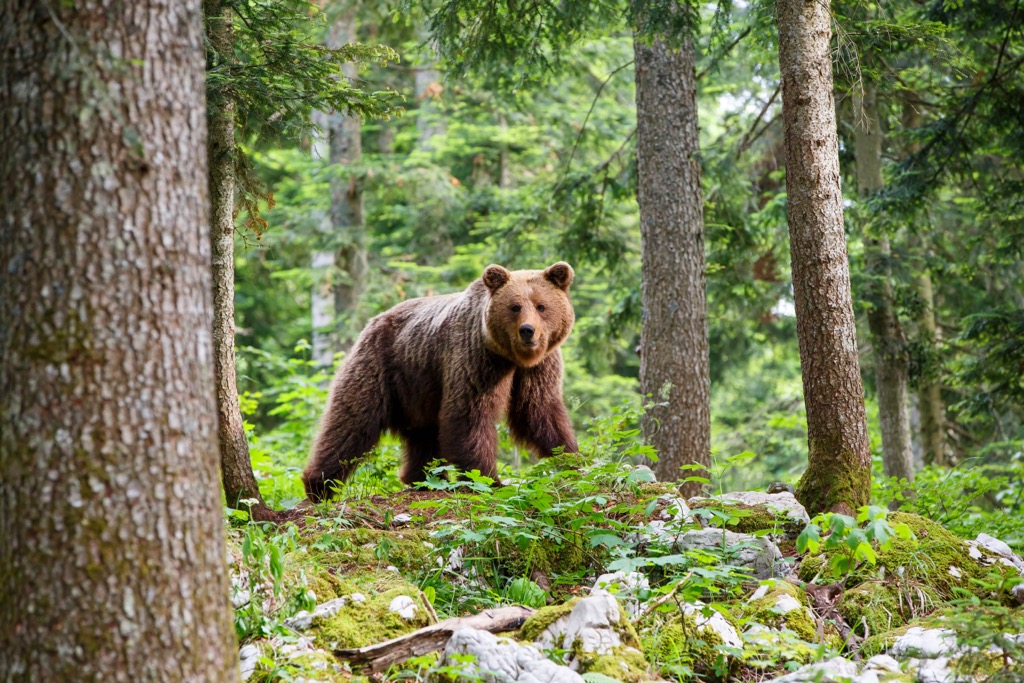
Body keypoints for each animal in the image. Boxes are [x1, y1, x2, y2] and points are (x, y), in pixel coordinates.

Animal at [299, 262, 581, 501]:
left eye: (541, 306)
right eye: (515, 306)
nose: (527, 331)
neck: (510, 357)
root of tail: (373, 321)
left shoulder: (538, 367)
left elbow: (539, 410)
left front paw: (571, 460)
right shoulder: (475, 358)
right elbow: (469, 413)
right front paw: (489, 479)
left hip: (418, 388)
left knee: (423, 435)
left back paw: (423, 479)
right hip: (380, 366)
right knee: (352, 421)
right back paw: (320, 486)